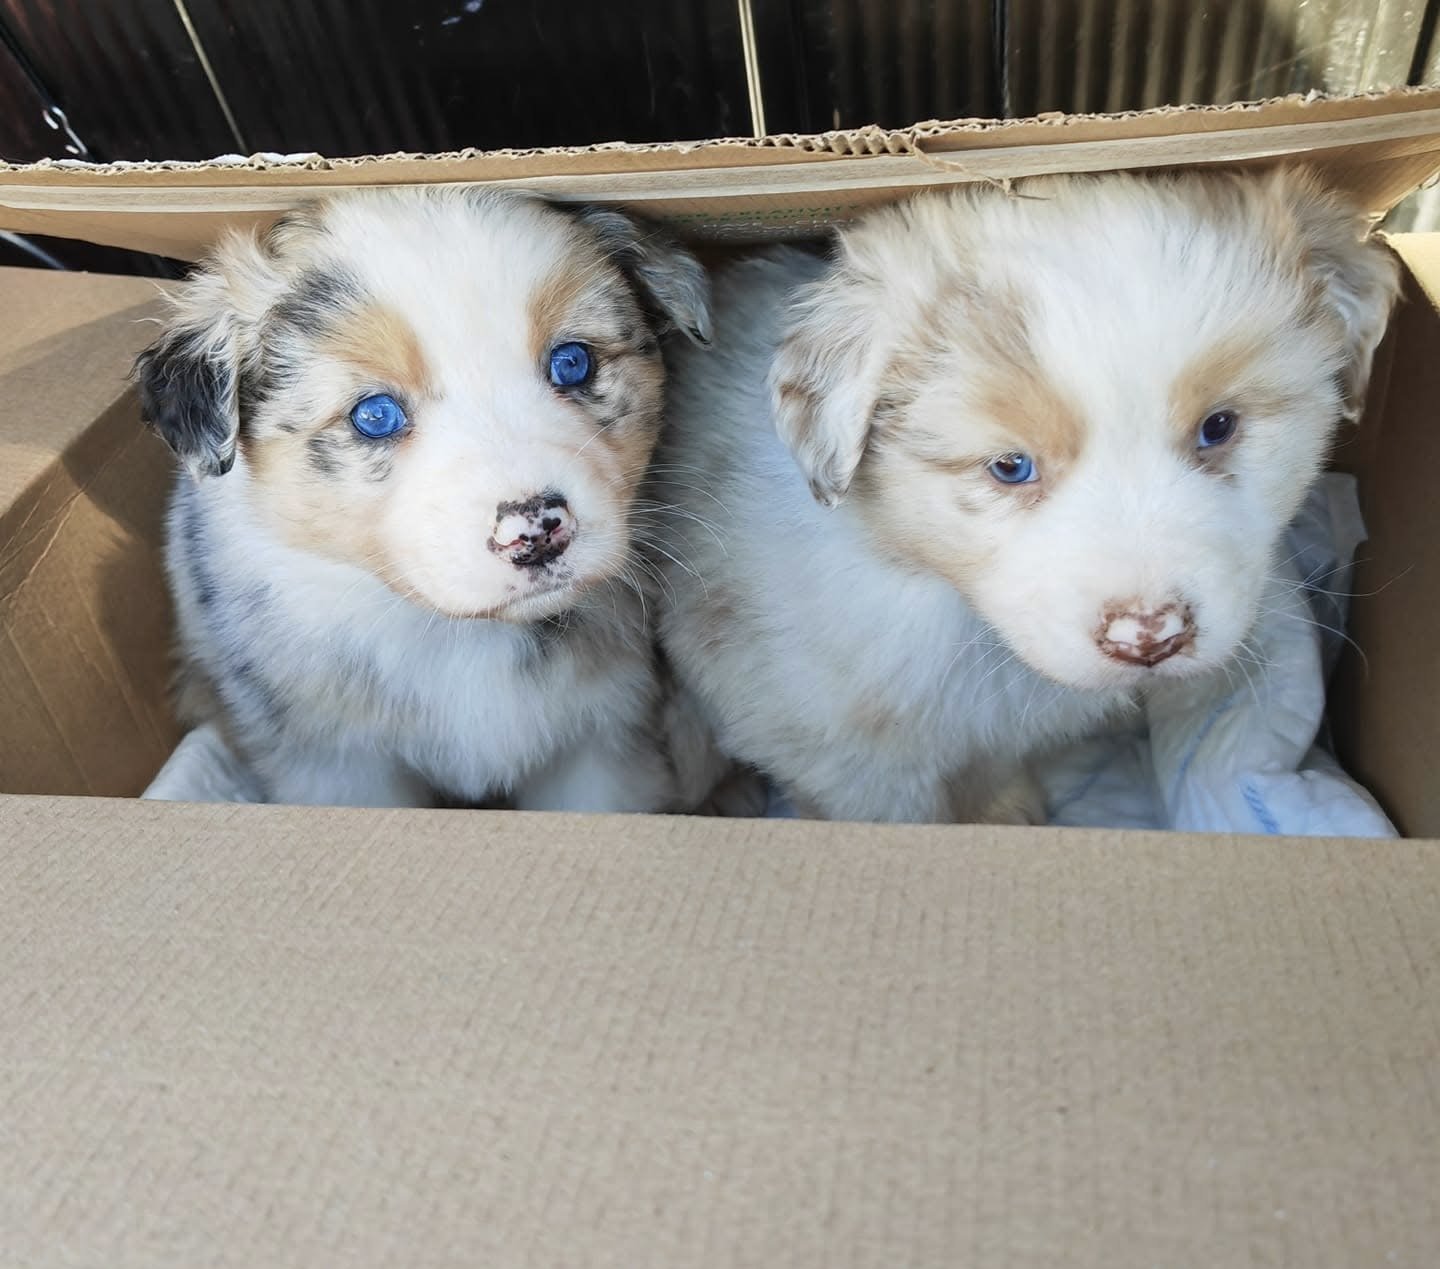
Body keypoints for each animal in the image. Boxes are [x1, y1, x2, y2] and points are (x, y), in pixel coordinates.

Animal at [136, 187, 710, 810]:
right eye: (375, 415)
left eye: (573, 361)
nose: (536, 531)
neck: (462, 633)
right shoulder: (336, 765)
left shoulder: (604, 740)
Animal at [653, 168, 1399, 824]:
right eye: (1011, 466)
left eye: (1218, 427)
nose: (1150, 637)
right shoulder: (836, 747)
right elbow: (896, 813)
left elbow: (989, 764)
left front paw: (1002, 809)